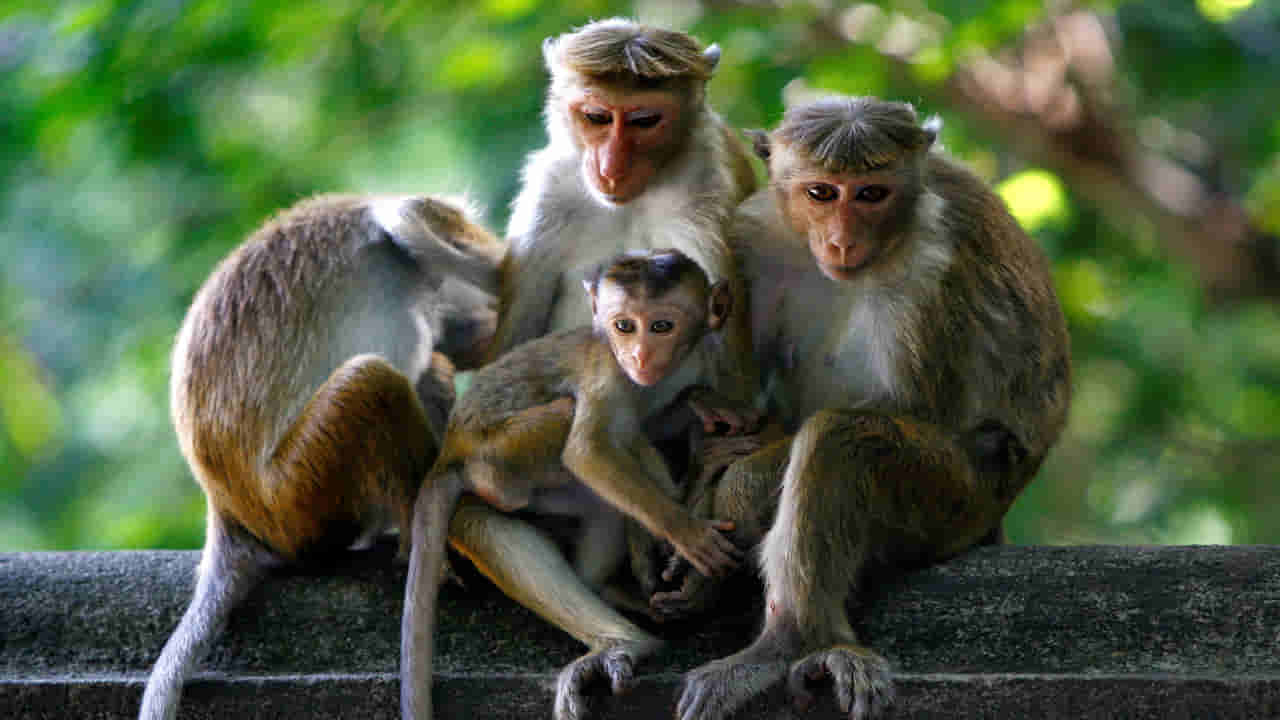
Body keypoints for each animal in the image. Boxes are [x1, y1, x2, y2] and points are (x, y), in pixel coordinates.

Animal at [401, 248, 755, 720]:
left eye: (662, 325)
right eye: (624, 326)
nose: (639, 355)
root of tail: (451, 445)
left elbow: (644, 427)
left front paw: (699, 404)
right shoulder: (608, 370)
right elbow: (589, 451)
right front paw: (685, 530)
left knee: (606, 485)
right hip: (500, 455)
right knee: (576, 424)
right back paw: (627, 638)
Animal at [650, 96, 1071, 720]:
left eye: (872, 193)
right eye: (822, 192)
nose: (843, 241)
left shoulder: (932, 264)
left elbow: (914, 409)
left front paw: (735, 493)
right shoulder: (754, 237)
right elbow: (744, 397)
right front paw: (709, 477)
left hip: (956, 502)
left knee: (843, 440)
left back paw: (789, 642)